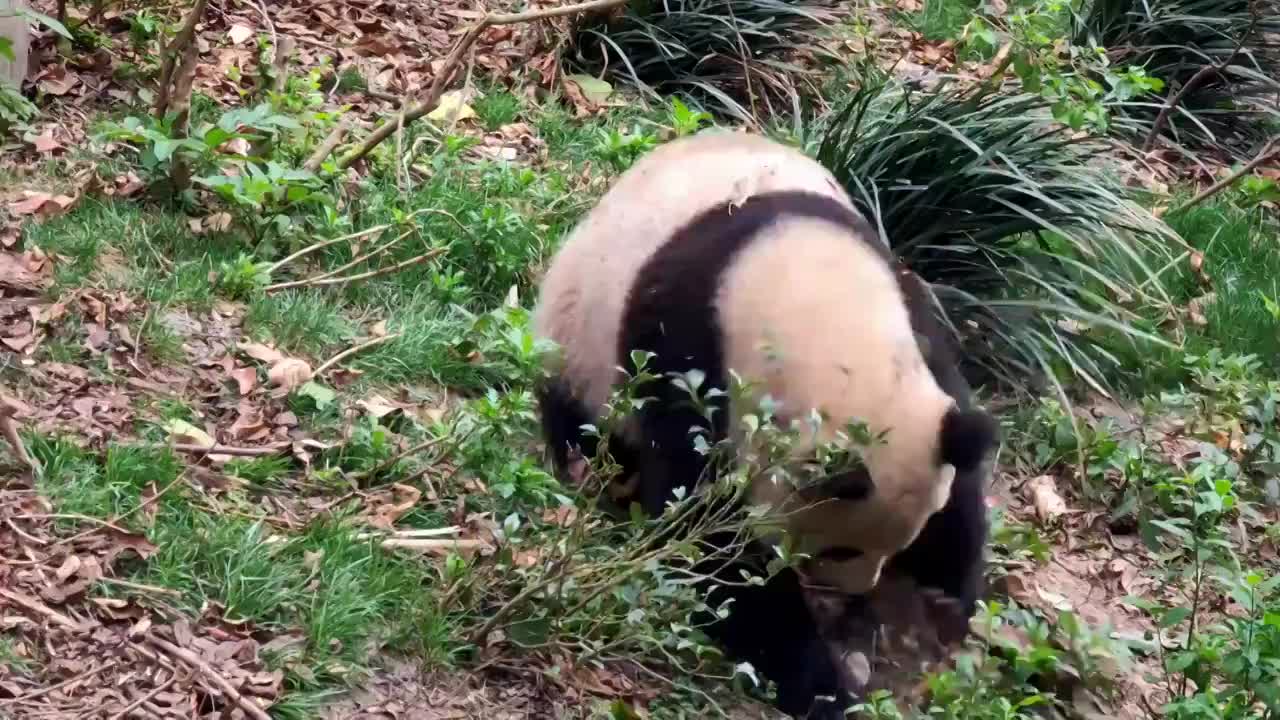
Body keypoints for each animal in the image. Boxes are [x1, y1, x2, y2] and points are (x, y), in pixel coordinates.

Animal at [529, 130, 998, 717]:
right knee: (585, 428)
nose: (853, 589)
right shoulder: (685, 357)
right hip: (578, 340)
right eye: (839, 549)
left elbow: (963, 462)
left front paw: (947, 590)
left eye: (901, 542)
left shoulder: (913, 317)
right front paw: (823, 686)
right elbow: (705, 530)